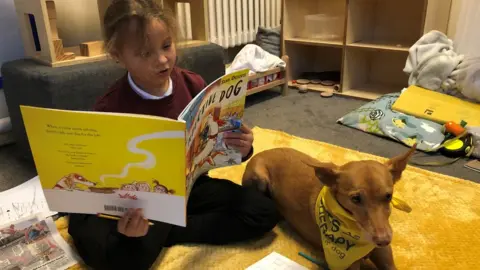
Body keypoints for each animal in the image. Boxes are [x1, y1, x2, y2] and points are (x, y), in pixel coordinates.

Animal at [242, 147, 414, 268]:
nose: (383, 240)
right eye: (355, 199)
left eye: (388, 196)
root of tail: (257, 154)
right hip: (260, 178)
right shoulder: (348, 265)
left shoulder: (385, 257)